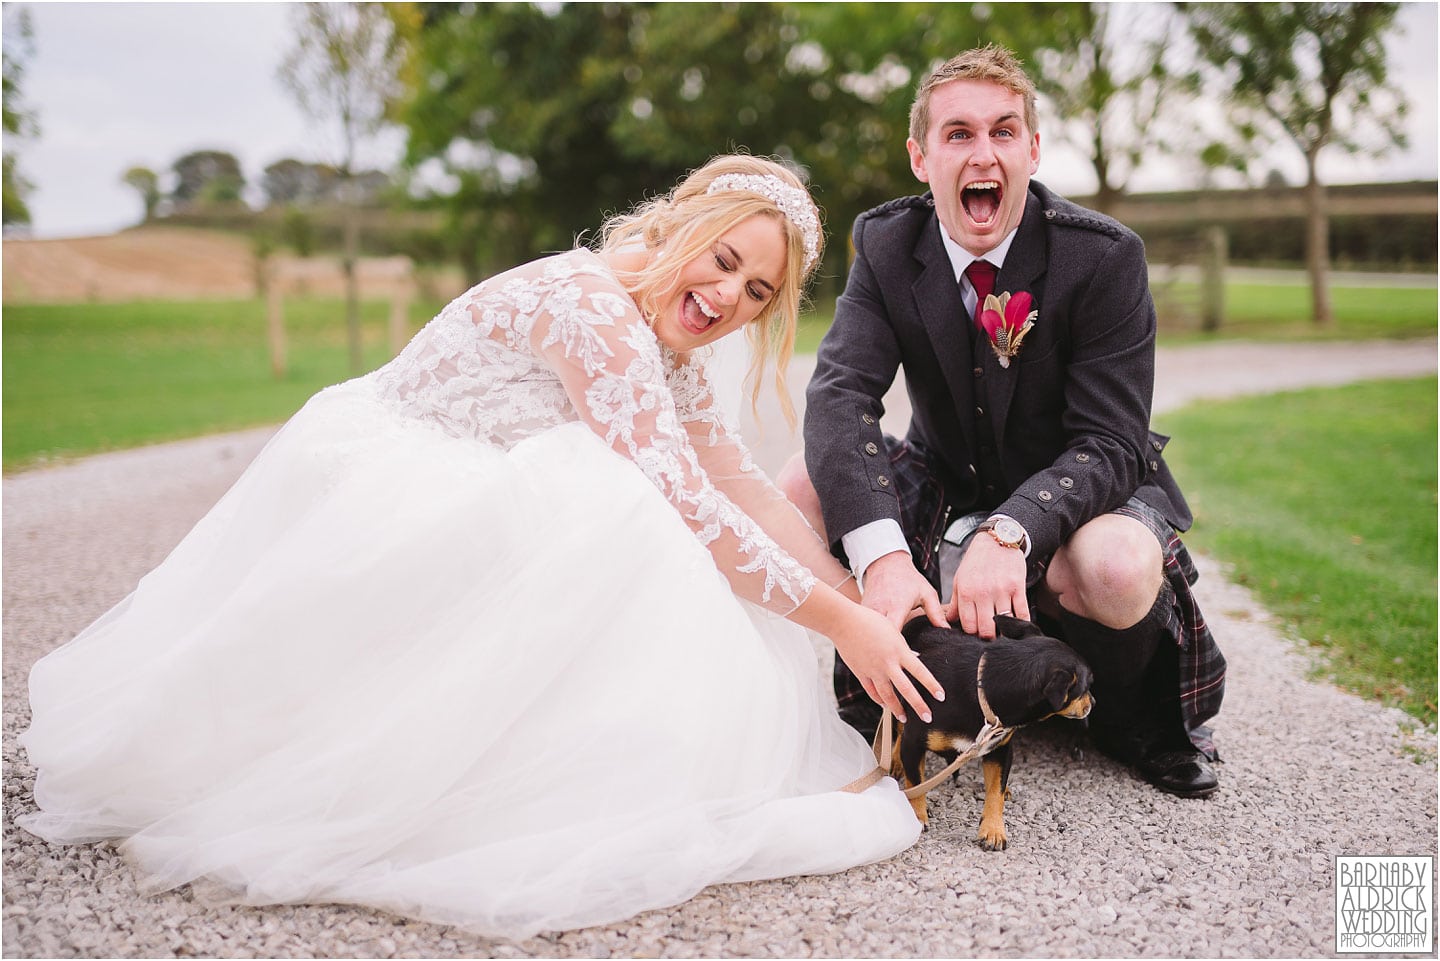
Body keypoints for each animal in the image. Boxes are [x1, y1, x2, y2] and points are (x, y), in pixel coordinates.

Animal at [887, 616, 1088, 847]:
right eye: (1088, 686)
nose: (1093, 702)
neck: (983, 690)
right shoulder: (914, 742)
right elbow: (915, 781)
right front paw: (917, 815)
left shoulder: (1000, 750)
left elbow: (995, 791)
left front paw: (993, 829)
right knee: (898, 731)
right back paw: (896, 762)